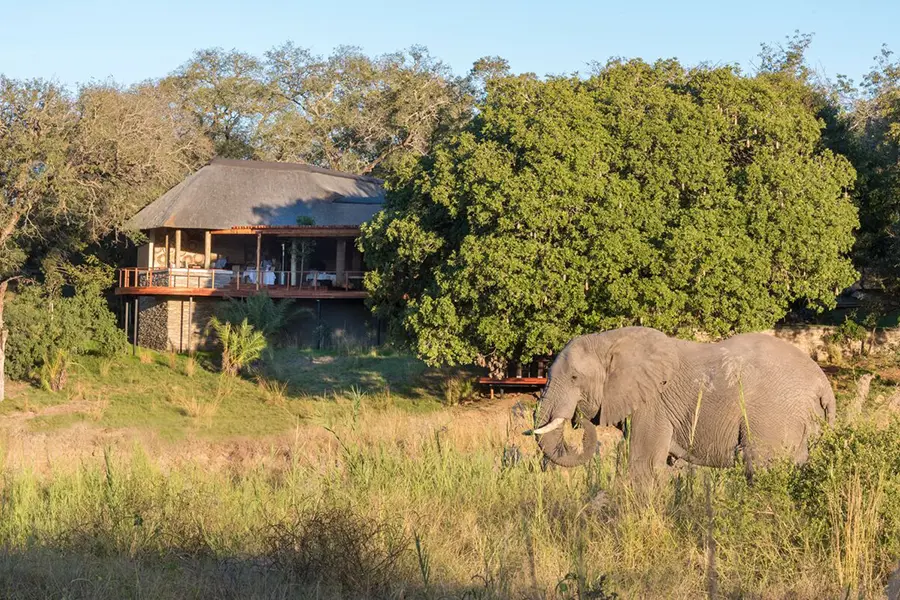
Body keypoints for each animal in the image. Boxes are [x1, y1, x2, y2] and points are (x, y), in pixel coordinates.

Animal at [528, 328, 836, 478]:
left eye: (575, 377)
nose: (579, 417)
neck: (608, 340)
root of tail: (824, 385)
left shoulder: (652, 405)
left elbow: (643, 464)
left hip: (774, 418)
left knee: (761, 467)